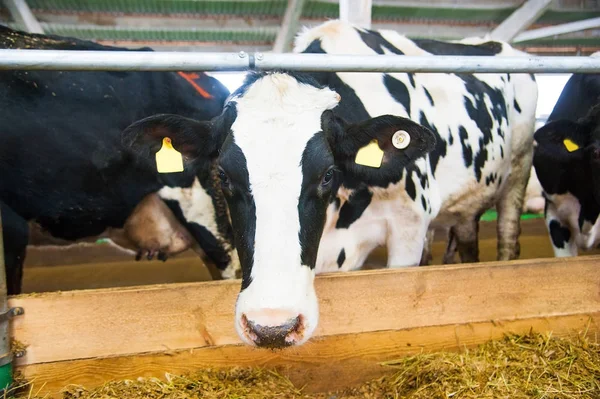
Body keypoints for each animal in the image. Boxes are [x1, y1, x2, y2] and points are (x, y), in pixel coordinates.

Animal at [123, 20, 540, 348]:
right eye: (222, 175)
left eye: (326, 174)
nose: (272, 327)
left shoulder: (408, 226)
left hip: (519, 171)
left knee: (507, 235)